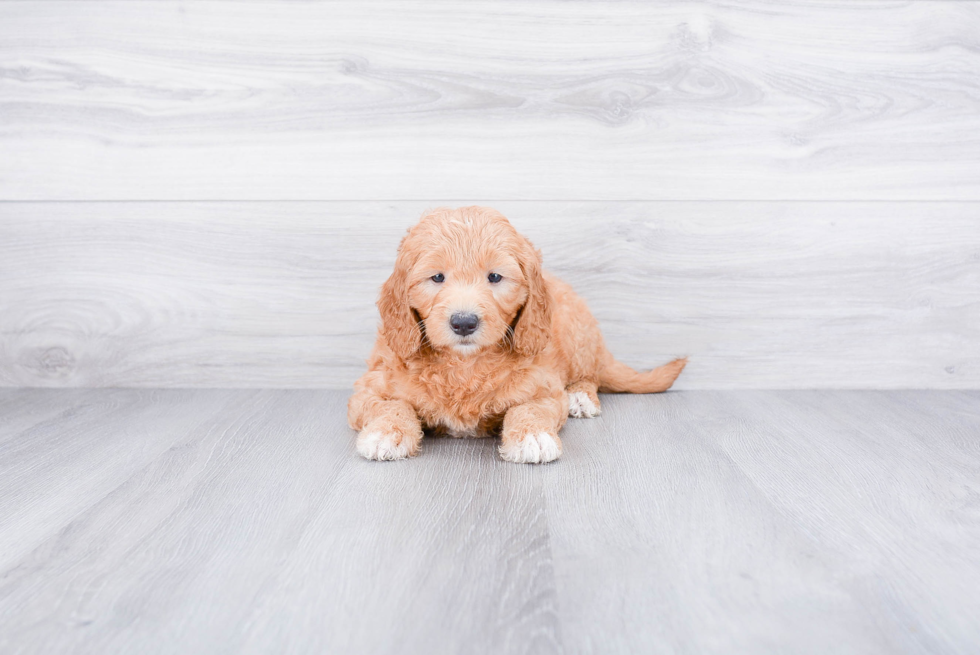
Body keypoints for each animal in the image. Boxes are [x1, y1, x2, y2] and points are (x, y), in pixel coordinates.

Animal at [348, 208, 684, 464]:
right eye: (437, 277)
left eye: (495, 277)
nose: (464, 323)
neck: (464, 365)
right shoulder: (368, 388)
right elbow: (391, 404)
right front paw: (386, 432)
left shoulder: (544, 387)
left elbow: (528, 407)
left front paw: (532, 435)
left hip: (579, 336)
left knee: (590, 375)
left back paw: (580, 396)